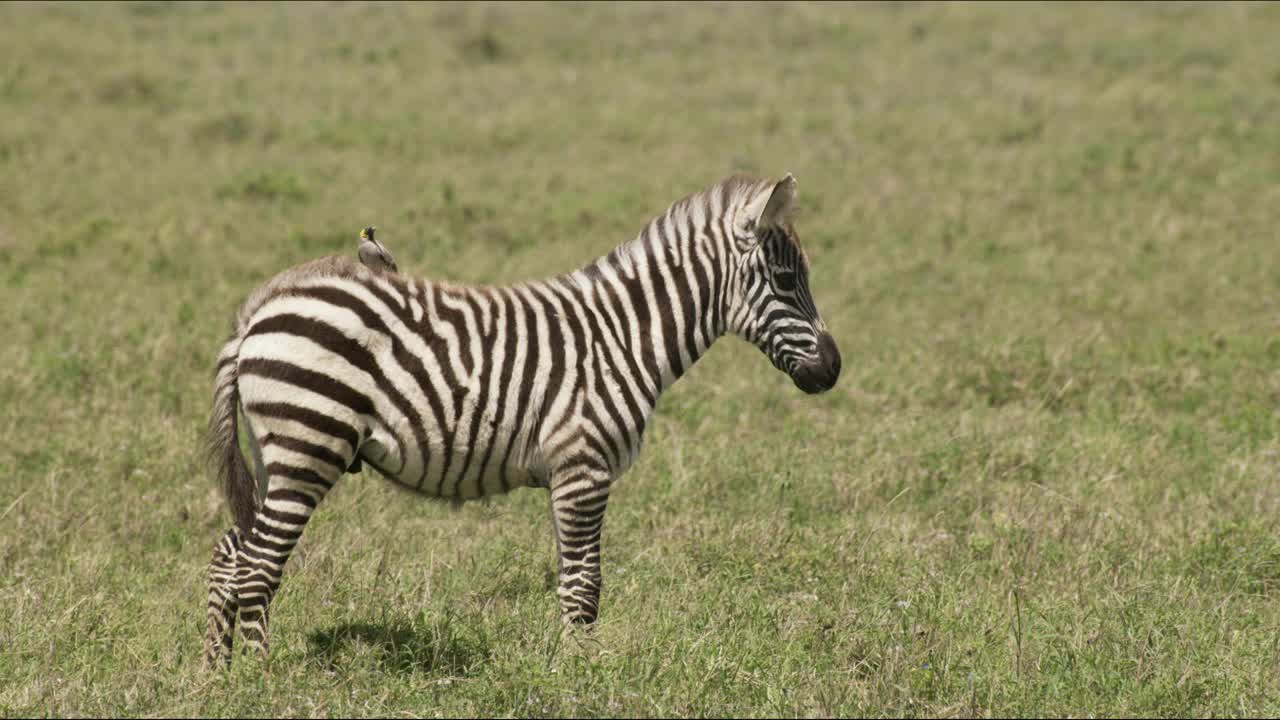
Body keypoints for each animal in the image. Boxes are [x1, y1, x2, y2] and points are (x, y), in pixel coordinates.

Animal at [202, 170, 839, 666]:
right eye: (787, 281)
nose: (832, 370)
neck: (621, 337)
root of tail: (257, 314)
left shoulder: (569, 474)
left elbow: (572, 583)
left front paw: (570, 666)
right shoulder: (583, 468)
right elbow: (584, 587)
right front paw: (584, 676)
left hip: (275, 453)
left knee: (229, 556)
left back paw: (217, 675)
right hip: (307, 444)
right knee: (257, 568)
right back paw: (263, 680)